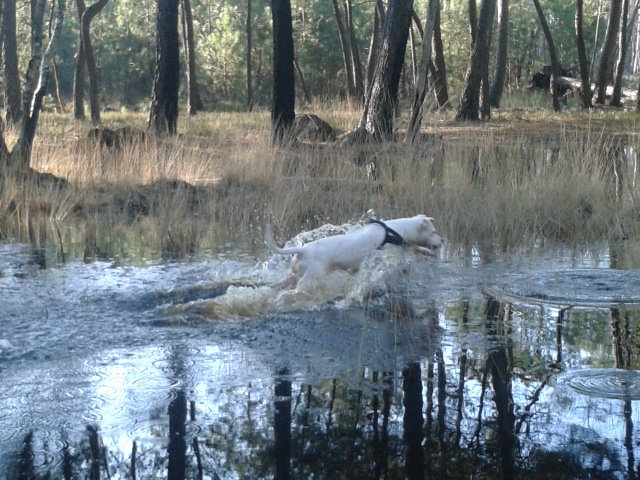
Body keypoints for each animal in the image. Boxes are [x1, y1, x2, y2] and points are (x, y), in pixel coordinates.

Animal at [264, 217, 440, 288]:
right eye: (434, 231)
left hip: (294, 275)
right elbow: (414, 250)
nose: (442, 241)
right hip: (312, 275)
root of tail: (303, 249)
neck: (390, 231)